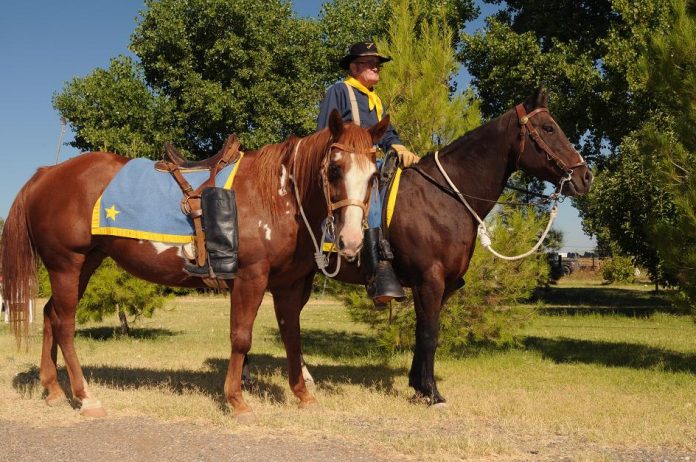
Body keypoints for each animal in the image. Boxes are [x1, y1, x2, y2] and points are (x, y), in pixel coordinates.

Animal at [1, 110, 386, 420]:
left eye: (373, 176)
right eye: (334, 169)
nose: (352, 240)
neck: (277, 196)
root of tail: (46, 174)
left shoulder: (289, 286)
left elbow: (292, 336)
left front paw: (303, 395)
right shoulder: (250, 277)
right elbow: (241, 338)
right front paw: (237, 401)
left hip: (85, 263)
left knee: (50, 315)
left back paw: (53, 389)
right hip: (66, 263)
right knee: (65, 324)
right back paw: (85, 397)